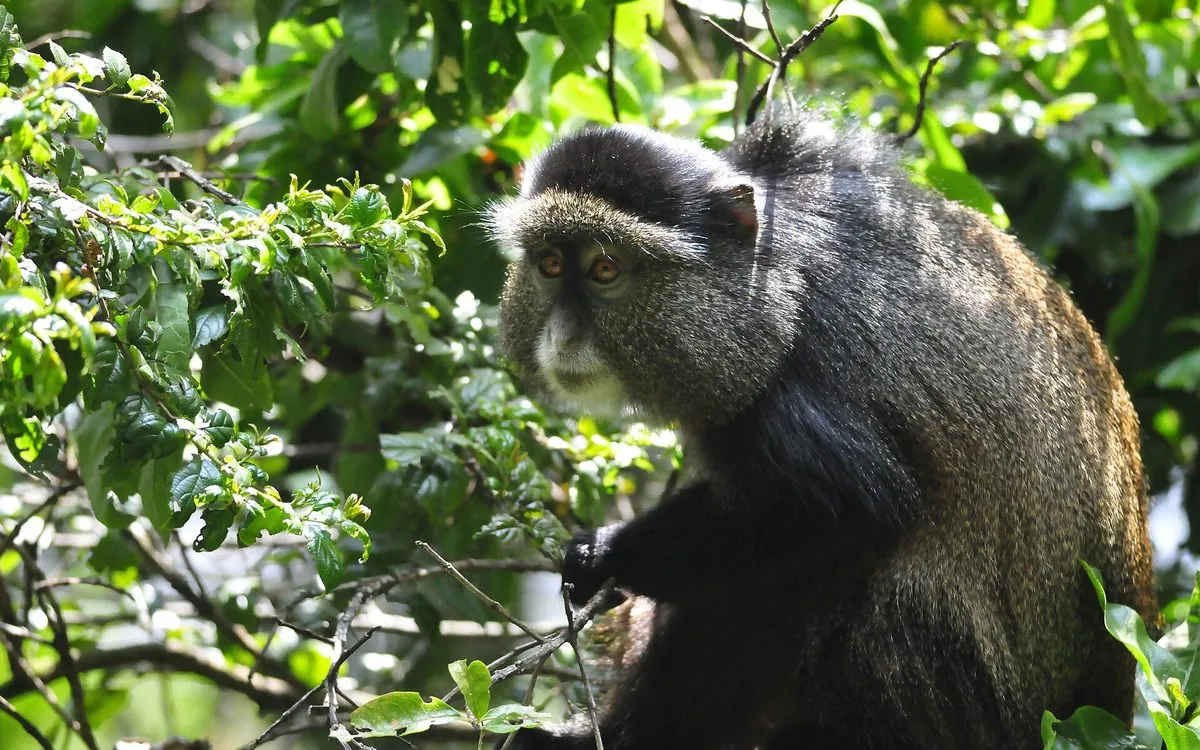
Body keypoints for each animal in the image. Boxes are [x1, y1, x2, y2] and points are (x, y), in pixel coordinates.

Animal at [485, 106, 1157, 750]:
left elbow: (845, 507)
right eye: (549, 264)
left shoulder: (793, 391)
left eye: (605, 269)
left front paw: (604, 553)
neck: (766, 279)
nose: (564, 335)